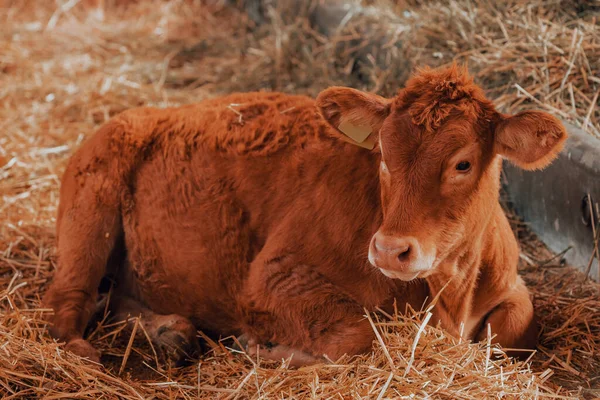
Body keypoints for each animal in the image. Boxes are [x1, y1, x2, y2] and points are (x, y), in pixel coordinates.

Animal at [44, 65, 564, 366]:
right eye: (382, 155)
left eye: (463, 163)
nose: (389, 250)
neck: (450, 296)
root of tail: (140, 113)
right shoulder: (269, 280)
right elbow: (361, 335)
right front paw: (266, 349)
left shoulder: (511, 288)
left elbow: (514, 329)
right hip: (89, 208)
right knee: (65, 303)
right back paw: (87, 353)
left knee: (114, 298)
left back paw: (170, 333)